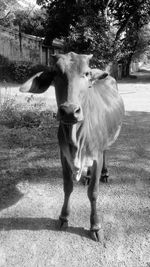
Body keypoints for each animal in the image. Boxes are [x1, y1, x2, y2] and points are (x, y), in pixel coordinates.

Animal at [19, 52, 124, 243]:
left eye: (87, 73)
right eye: (55, 73)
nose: (69, 111)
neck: (76, 139)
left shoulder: (96, 156)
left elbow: (93, 193)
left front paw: (95, 226)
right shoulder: (63, 155)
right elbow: (67, 186)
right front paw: (64, 217)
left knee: (106, 151)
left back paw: (105, 174)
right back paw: (87, 176)